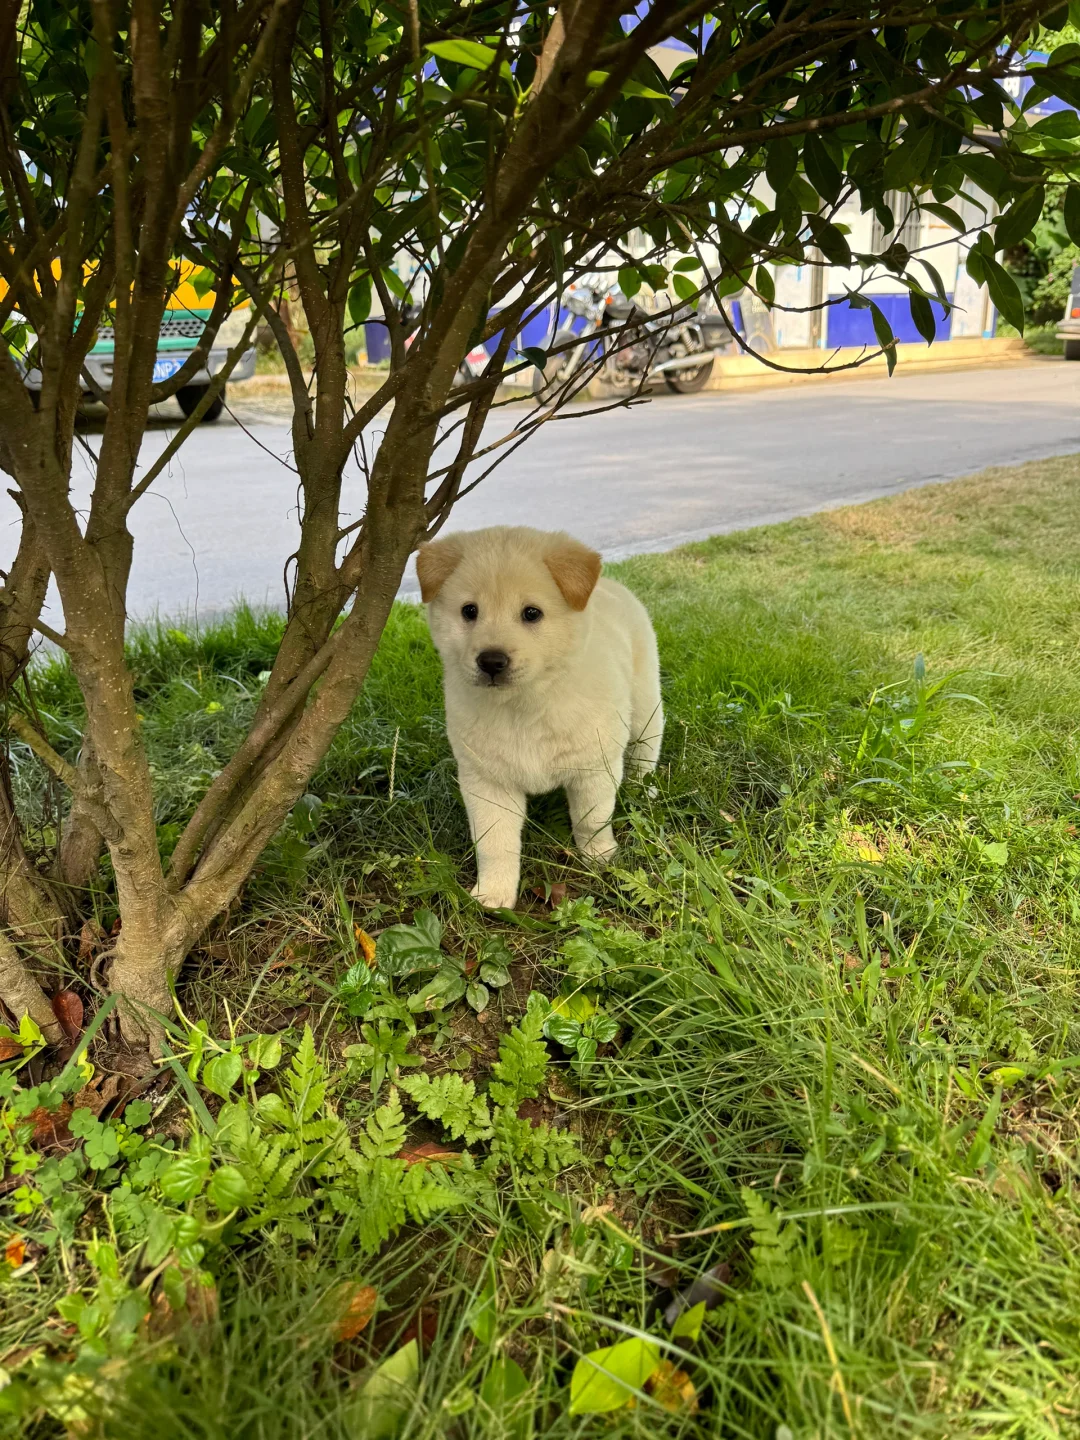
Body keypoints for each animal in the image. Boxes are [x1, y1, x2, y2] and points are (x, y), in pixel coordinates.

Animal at [417, 529, 665, 904]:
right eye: (469, 611)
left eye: (531, 613)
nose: (491, 661)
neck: (524, 706)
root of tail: (610, 584)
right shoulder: (487, 781)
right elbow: (495, 843)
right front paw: (494, 893)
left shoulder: (594, 767)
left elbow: (592, 819)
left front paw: (599, 858)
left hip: (644, 701)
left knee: (648, 746)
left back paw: (642, 788)